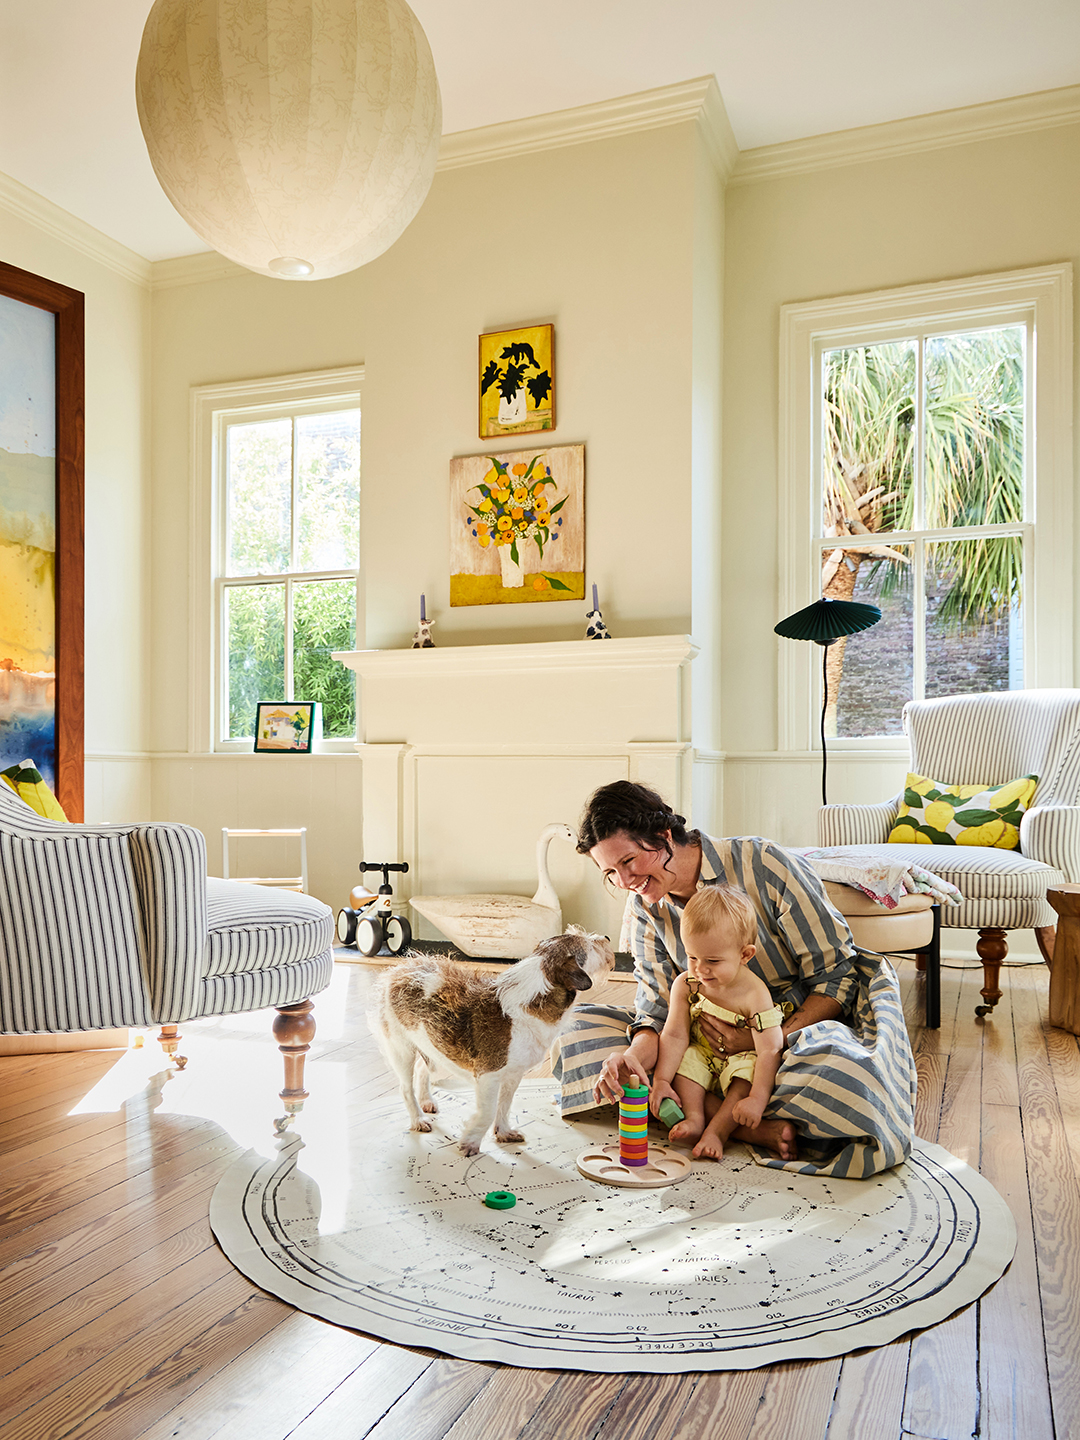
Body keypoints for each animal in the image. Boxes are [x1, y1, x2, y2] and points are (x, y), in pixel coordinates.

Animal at [371, 927, 613, 1152]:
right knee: (405, 1088)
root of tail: (400, 969)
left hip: (433, 1046)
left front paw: (503, 1132)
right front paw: (470, 1142)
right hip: (401, 1049)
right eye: (589, 946)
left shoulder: (513, 1075)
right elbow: (487, 1111)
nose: (607, 938)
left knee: (424, 1068)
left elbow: (504, 1105)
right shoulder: (489, 1076)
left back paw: (426, 1101)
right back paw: (418, 1119)